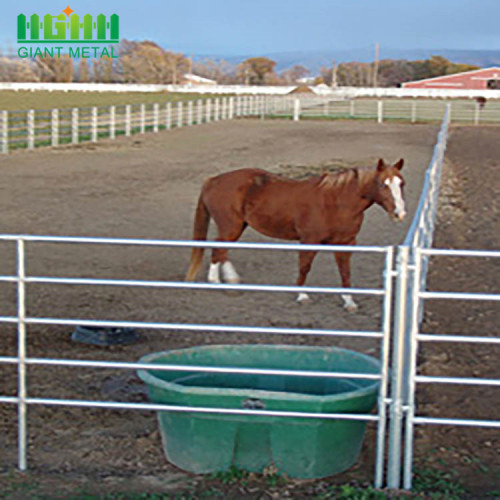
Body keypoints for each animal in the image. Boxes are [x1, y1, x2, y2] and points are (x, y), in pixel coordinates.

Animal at [186, 158, 404, 310]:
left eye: (401, 184)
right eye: (383, 184)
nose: (399, 213)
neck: (336, 202)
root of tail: (213, 180)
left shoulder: (346, 242)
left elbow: (345, 272)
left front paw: (349, 301)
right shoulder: (310, 240)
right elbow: (304, 267)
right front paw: (302, 295)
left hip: (237, 226)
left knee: (221, 249)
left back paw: (225, 281)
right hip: (230, 226)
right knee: (219, 248)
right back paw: (223, 282)